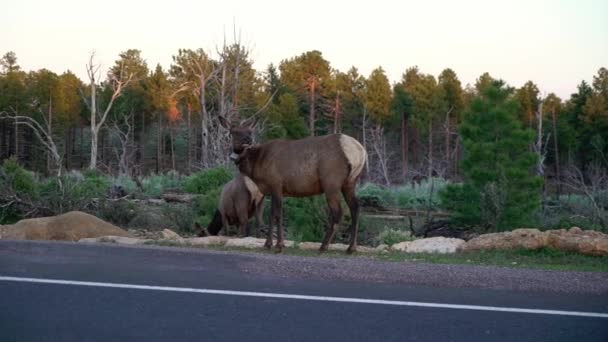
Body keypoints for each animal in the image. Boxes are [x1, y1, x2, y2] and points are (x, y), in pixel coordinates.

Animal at [221, 117, 368, 254]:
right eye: (234, 132)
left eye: (249, 131)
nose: (248, 140)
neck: (257, 165)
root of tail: (359, 151)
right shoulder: (271, 190)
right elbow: (271, 215)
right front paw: (268, 244)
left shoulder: (276, 183)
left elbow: (278, 214)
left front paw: (279, 245)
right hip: (350, 182)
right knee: (355, 207)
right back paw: (351, 248)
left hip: (331, 182)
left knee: (338, 212)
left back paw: (323, 246)